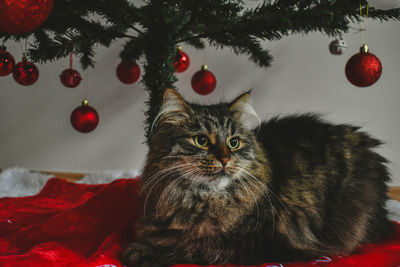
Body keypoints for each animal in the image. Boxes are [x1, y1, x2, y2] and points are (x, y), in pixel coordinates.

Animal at [123, 89, 392, 266]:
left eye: (233, 143)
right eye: (201, 140)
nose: (225, 159)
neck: (206, 200)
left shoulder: (249, 245)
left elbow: (185, 247)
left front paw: (138, 252)